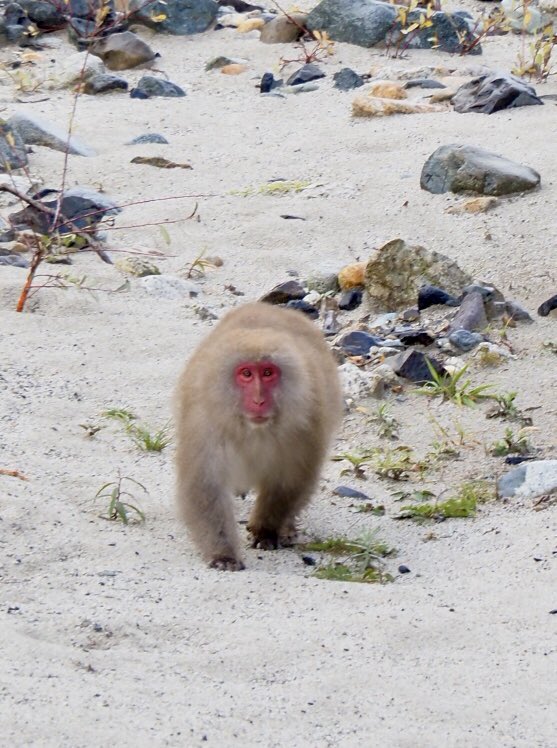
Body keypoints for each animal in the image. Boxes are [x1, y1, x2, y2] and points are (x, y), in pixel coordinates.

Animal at [175, 302, 343, 571]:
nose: (258, 400)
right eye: (246, 374)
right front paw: (223, 553)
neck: (253, 428)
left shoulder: (307, 421)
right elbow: (205, 484)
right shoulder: (204, 421)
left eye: (267, 373)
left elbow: (290, 479)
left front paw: (266, 530)